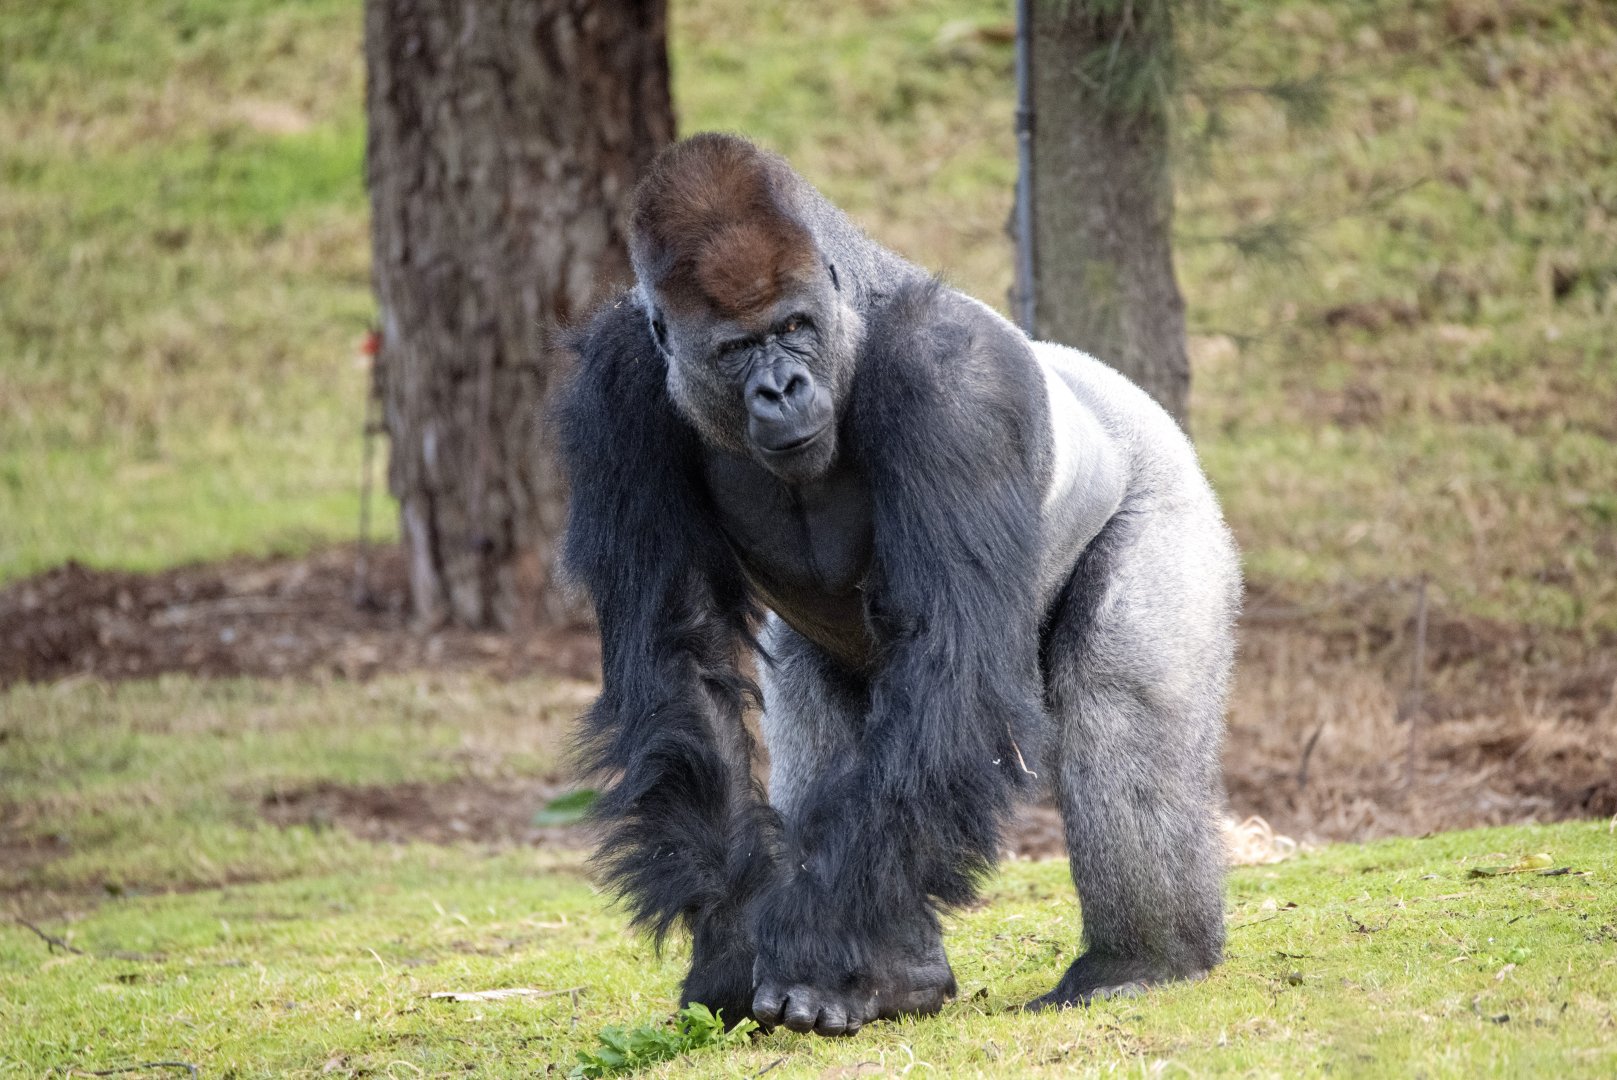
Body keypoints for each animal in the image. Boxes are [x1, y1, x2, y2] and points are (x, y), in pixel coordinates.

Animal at [558, 132, 1240, 1037]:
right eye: (736, 349)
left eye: (794, 328)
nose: (781, 388)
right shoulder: (618, 386)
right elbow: (679, 654)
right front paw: (736, 942)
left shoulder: (953, 384)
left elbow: (953, 662)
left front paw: (811, 948)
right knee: (823, 731)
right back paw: (901, 973)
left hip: (1170, 492)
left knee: (1121, 697)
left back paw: (1142, 959)